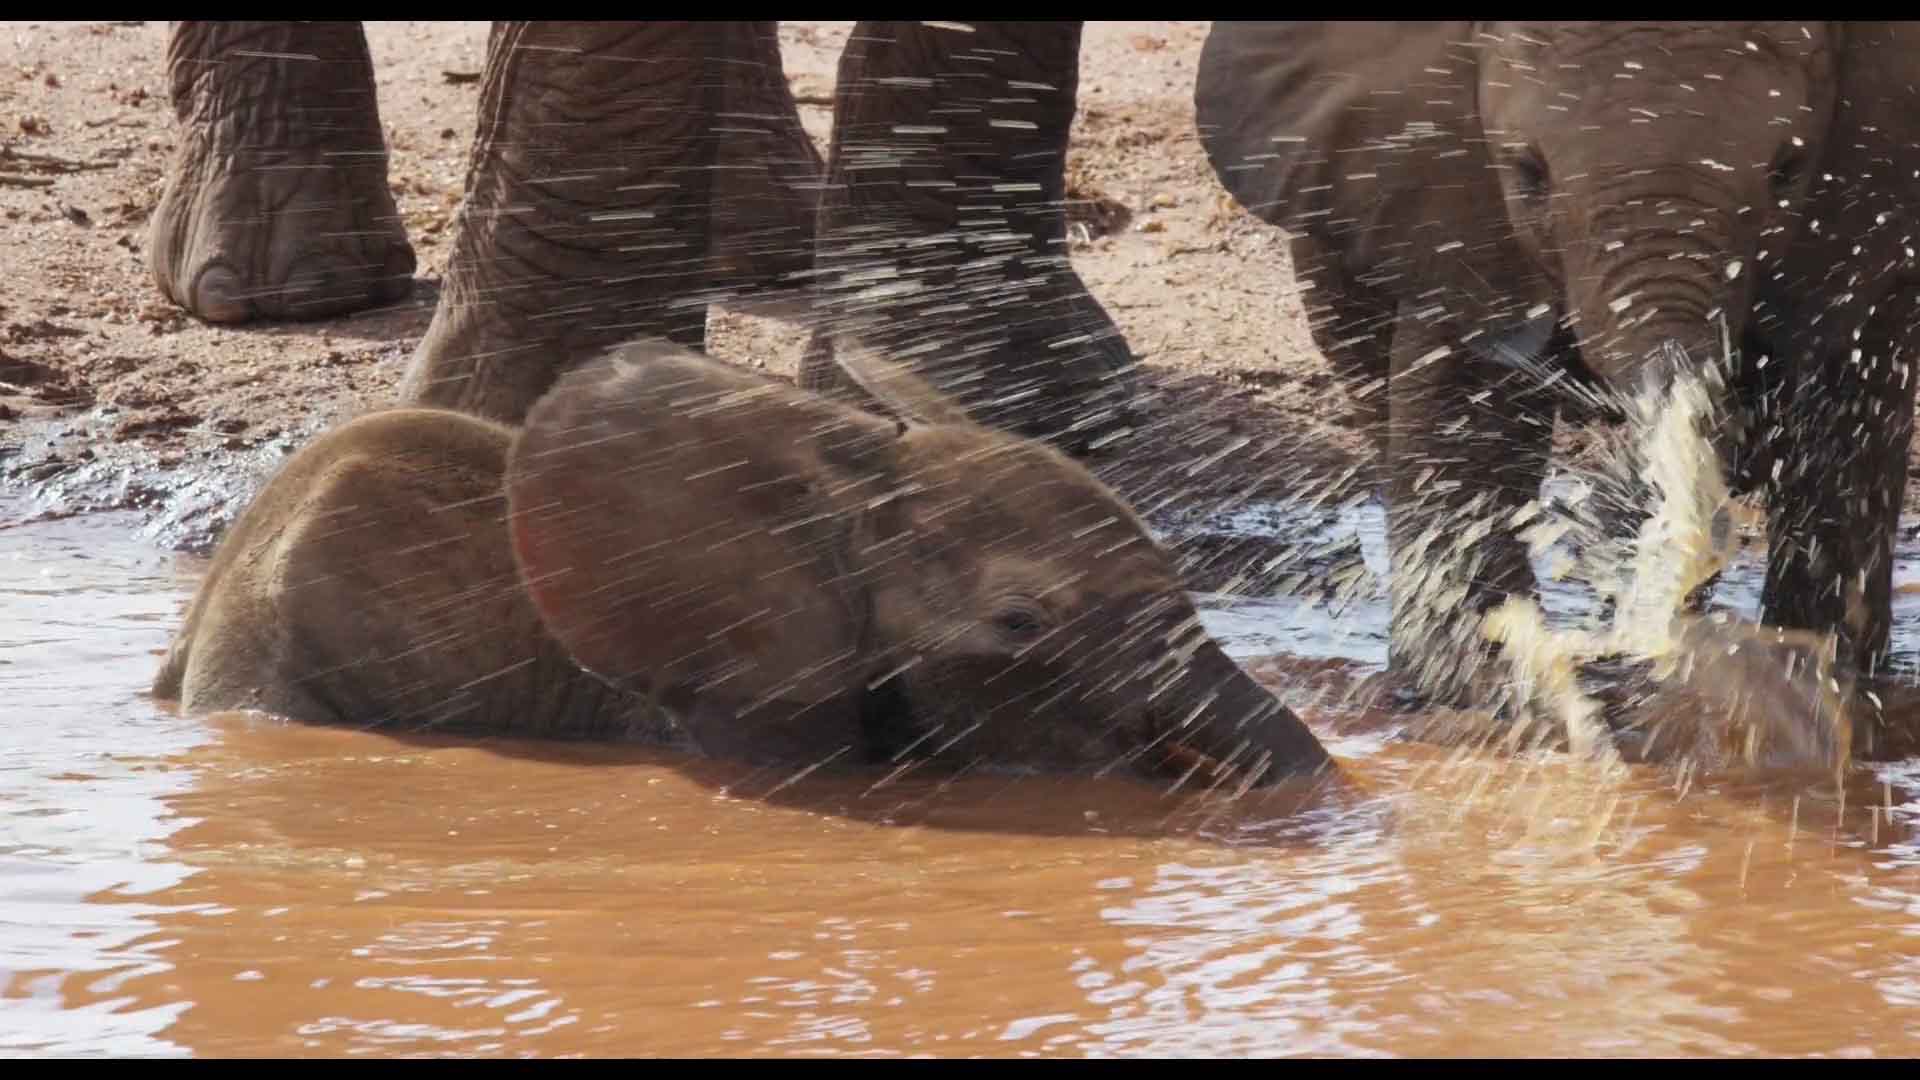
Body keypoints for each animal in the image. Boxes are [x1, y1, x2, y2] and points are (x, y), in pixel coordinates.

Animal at [1190, 21, 1920, 753]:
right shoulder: (1452, 201)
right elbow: (1469, 422)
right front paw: (1493, 696)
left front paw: (1825, 681)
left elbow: (1842, 424)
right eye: (1527, 172)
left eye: (1786, 170)